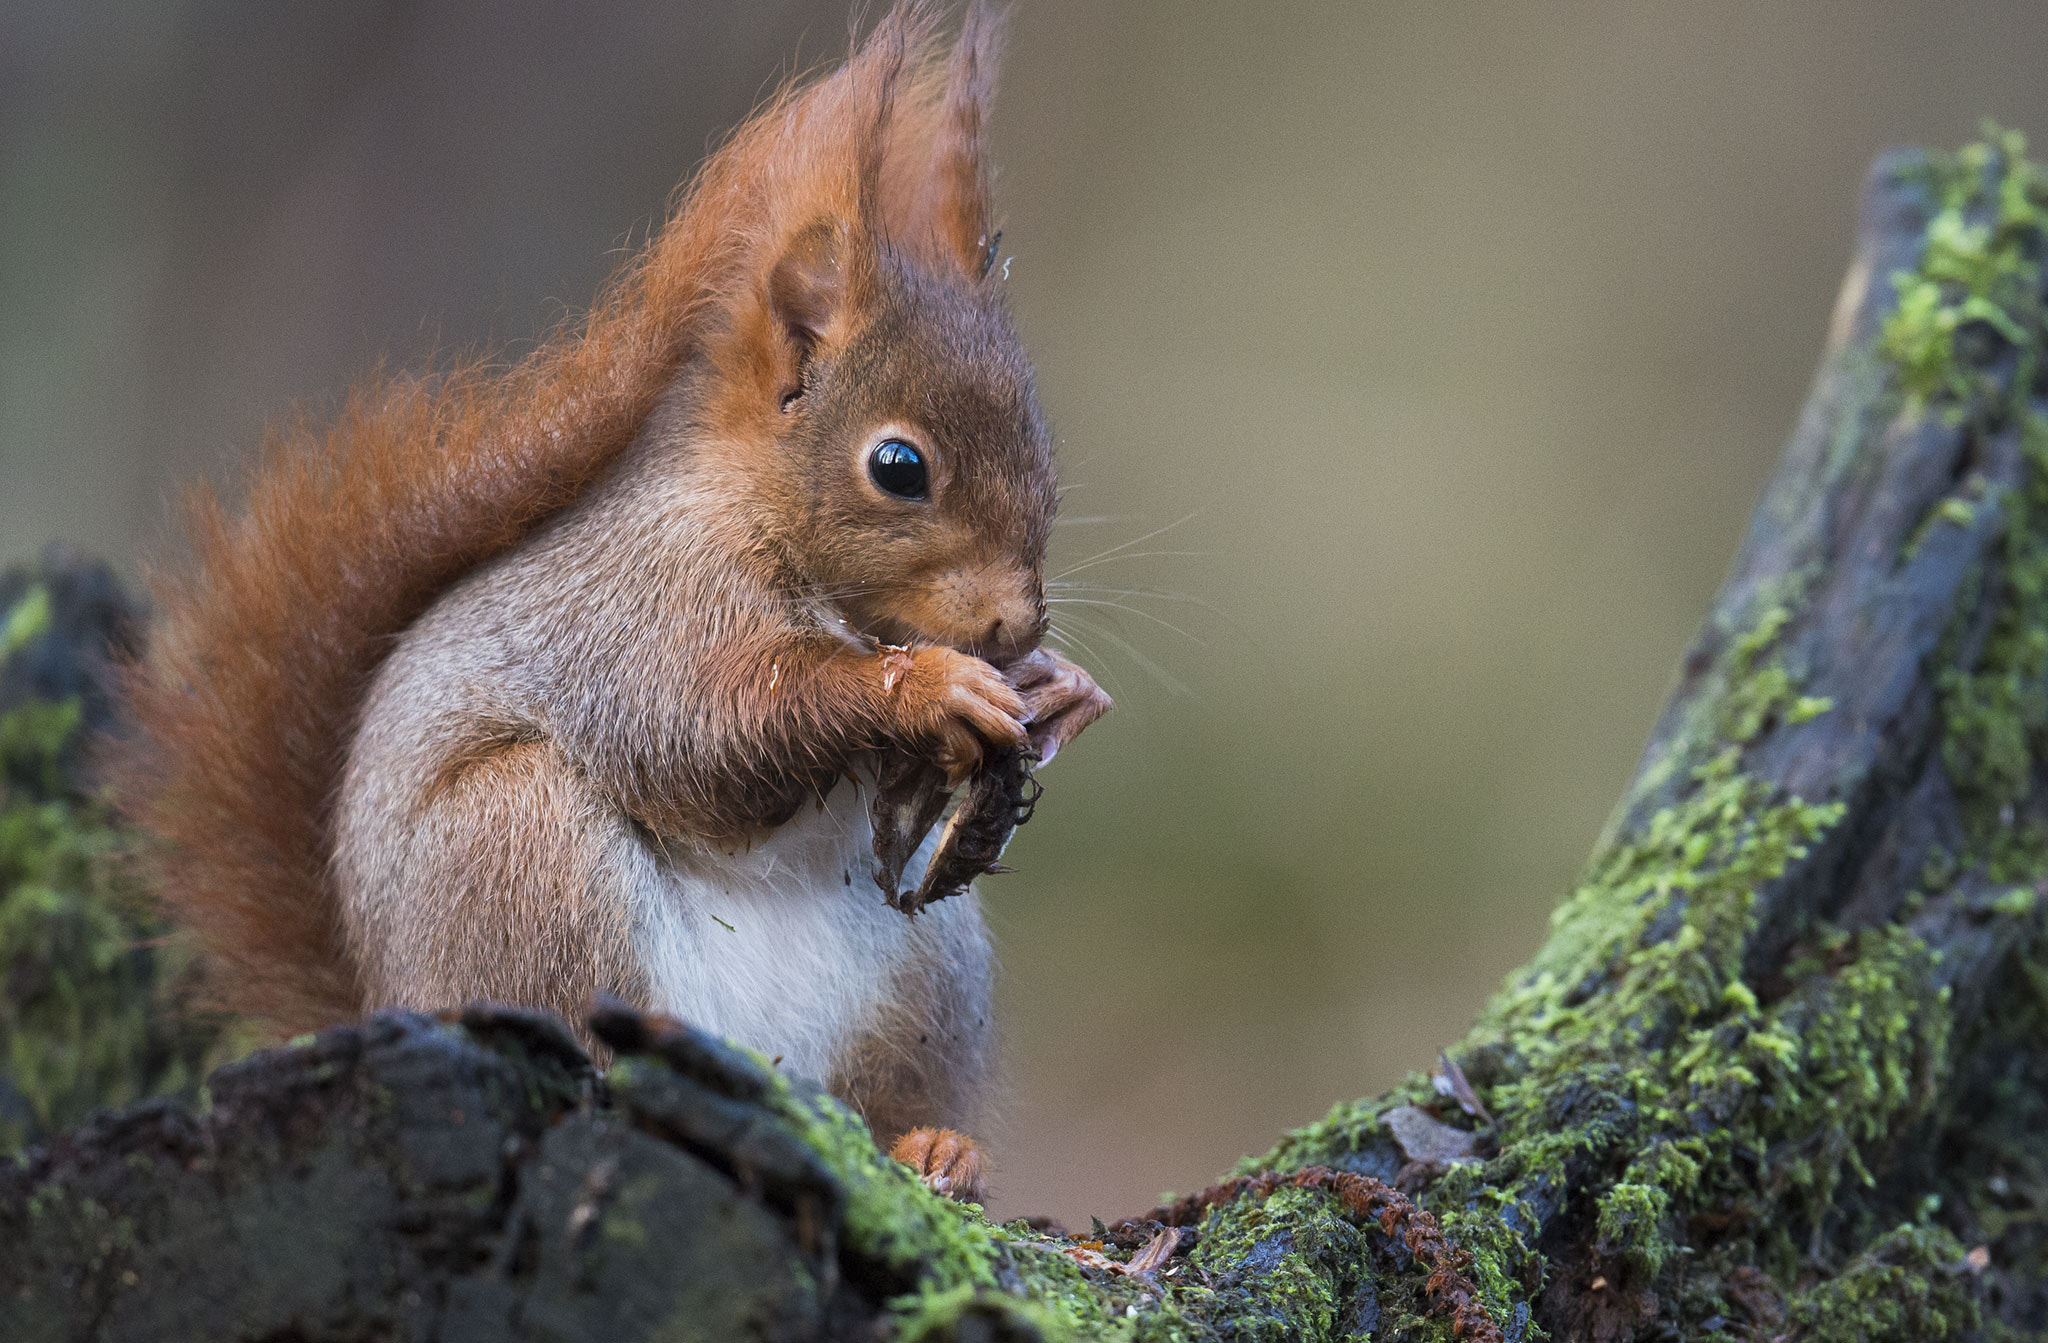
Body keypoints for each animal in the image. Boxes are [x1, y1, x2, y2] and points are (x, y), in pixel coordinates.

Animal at [119, 0, 1114, 1195]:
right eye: (898, 466)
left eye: (1042, 440)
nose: (1015, 624)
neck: (755, 509)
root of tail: (384, 997)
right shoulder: (647, 604)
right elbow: (708, 726)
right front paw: (925, 689)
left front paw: (1061, 691)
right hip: (521, 851)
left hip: (928, 971)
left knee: (882, 1098)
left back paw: (933, 1144)